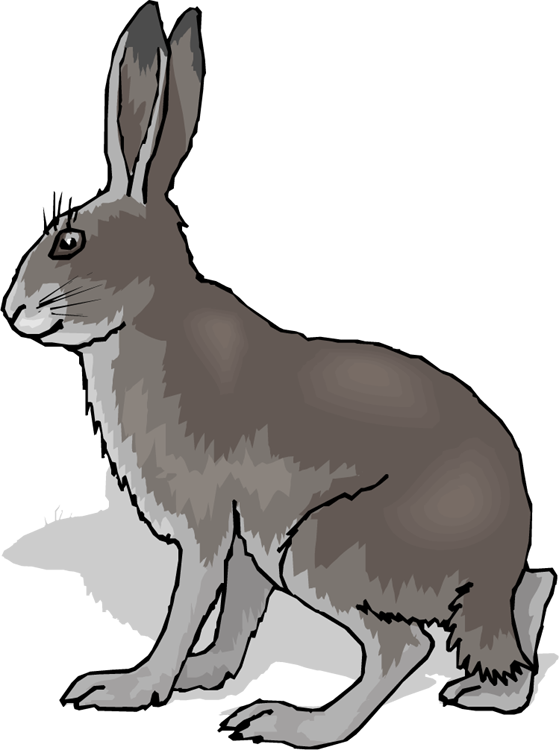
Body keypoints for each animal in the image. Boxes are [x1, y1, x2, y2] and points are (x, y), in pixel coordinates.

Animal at [6, 3, 553, 745]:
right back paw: (478, 695)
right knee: (507, 639)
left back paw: (294, 725)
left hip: (320, 548)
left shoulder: (208, 528)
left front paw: (130, 690)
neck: (151, 313)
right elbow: (233, 619)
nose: (12, 308)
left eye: (69, 241)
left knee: (402, 648)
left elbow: (185, 609)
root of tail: (498, 558)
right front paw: (199, 677)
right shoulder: (243, 545)